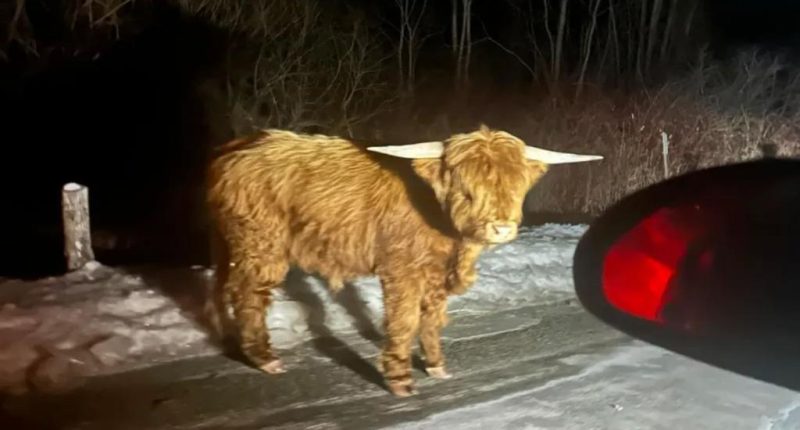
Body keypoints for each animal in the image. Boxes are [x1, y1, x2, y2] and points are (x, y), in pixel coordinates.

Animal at [204, 125, 602, 397]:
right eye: (466, 190)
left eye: (516, 187)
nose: (501, 227)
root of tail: (234, 148)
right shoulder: (402, 268)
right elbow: (405, 318)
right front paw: (399, 379)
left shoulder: (436, 272)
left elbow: (432, 317)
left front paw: (436, 365)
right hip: (261, 243)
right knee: (249, 296)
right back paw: (264, 358)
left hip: (232, 245)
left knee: (221, 287)